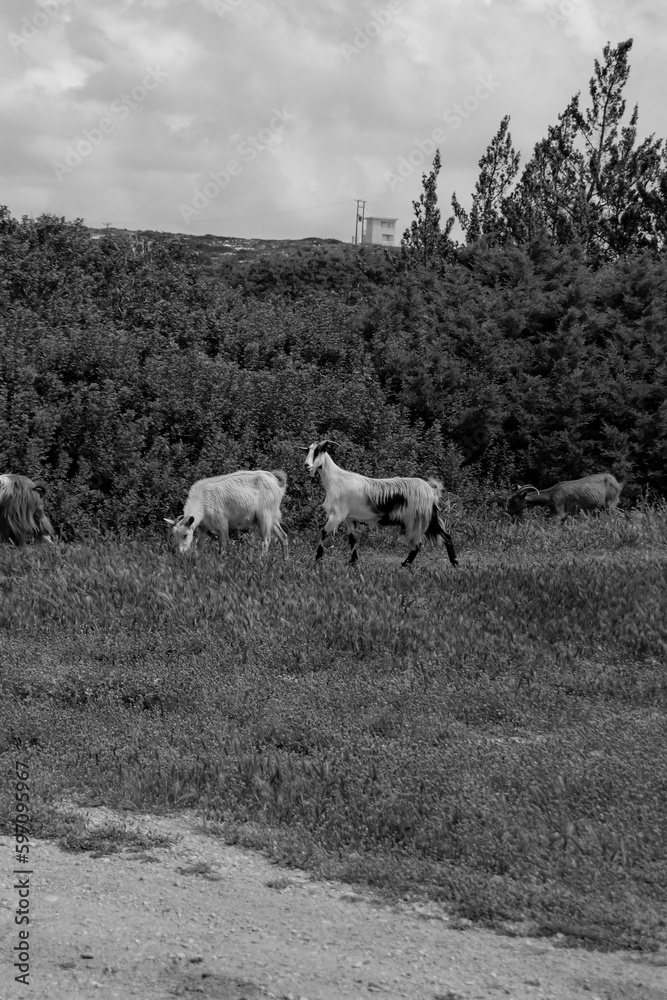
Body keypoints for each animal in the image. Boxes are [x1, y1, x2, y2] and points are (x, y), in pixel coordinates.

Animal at [304, 439, 458, 567]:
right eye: (307, 451)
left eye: (317, 451)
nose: (306, 465)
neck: (336, 480)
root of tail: (430, 489)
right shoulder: (349, 517)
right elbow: (352, 539)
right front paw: (352, 562)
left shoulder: (337, 515)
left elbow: (324, 532)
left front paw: (317, 559)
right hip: (428, 517)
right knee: (445, 537)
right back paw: (452, 562)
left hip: (416, 519)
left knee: (418, 543)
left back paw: (408, 564)